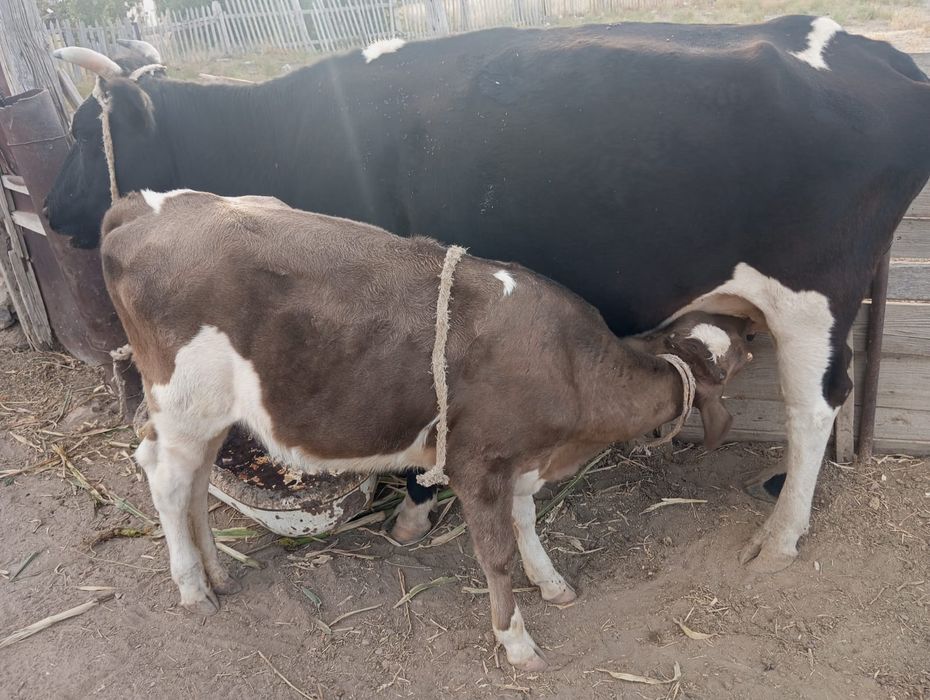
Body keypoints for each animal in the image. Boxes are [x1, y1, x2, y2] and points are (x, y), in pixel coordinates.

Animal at [47, 16, 930, 572]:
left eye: (80, 135)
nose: (51, 215)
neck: (287, 132)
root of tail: (876, 53)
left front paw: (412, 506)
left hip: (813, 295)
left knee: (814, 406)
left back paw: (780, 536)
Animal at [103, 188, 751, 670]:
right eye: (738, 358)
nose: (753, 332)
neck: (569, 365)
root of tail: (143, 206)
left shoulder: (520, 459)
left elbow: (527, 526)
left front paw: (551, 583)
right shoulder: (478, 462)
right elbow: (496, 553)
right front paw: (516, 641)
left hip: (210, 415)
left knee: (194, 483)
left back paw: (217, 574)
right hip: (183, 404)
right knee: (164, 480)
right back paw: (193, 589)